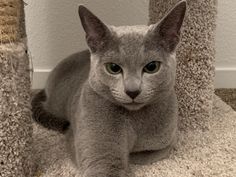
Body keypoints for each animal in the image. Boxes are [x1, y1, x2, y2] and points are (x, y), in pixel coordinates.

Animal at [31, 1, 186, 176]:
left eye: (152, 67)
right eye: (113, 68)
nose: (133, 91)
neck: (135, 121)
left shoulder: (167, 142)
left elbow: (147, 154)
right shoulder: (99, 153)